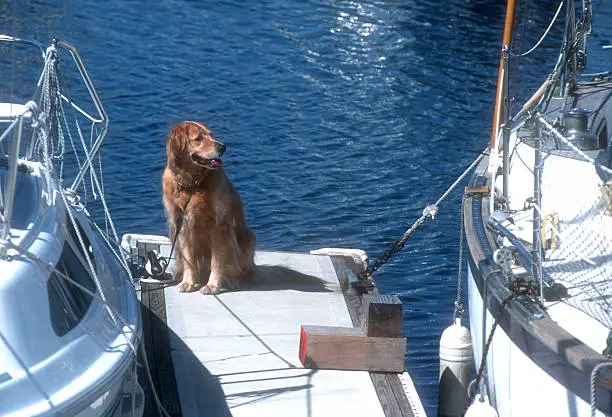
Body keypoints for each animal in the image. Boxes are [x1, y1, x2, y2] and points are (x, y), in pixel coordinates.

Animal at [161, 122, 255, 294]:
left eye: (211, 135)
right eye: (198, 138)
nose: (223, 147)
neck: (192, 184)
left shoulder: (219, 225)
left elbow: (217, 261)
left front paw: (212, 285)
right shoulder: (182, 223)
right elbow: (189, 259)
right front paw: (188, 282)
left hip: (247, 237)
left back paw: (233, 280)